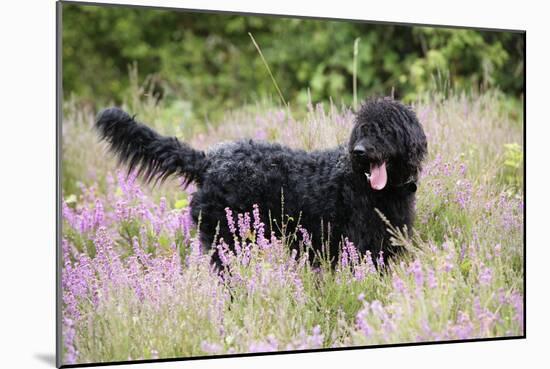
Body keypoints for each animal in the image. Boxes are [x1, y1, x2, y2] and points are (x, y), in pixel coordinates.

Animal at [97, 98, 430, 264]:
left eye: (384, 129)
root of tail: (209, 160)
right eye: (361, 128)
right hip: (227, 240)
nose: (359, 151)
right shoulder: (361, 245)